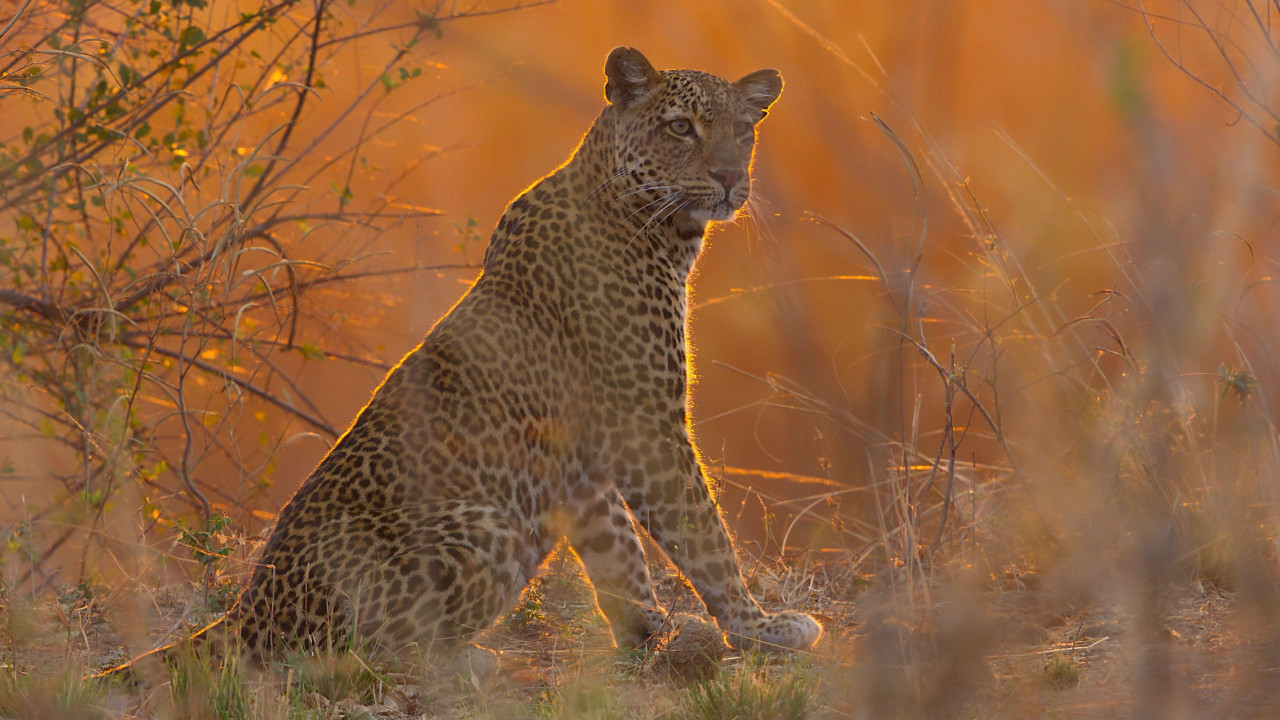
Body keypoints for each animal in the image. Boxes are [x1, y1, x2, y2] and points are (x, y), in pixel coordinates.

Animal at [116, 46, 821, 677]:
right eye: (681, 127)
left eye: (742, 131)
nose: (730, 179)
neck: (662, 232)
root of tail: (244, 612)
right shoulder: (645, 424)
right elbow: (704, 538)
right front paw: (758, 627)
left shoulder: (585, 458)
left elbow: (619, 550)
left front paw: (652, 630)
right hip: (486, 527)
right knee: (344, 659)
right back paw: (464, 662)